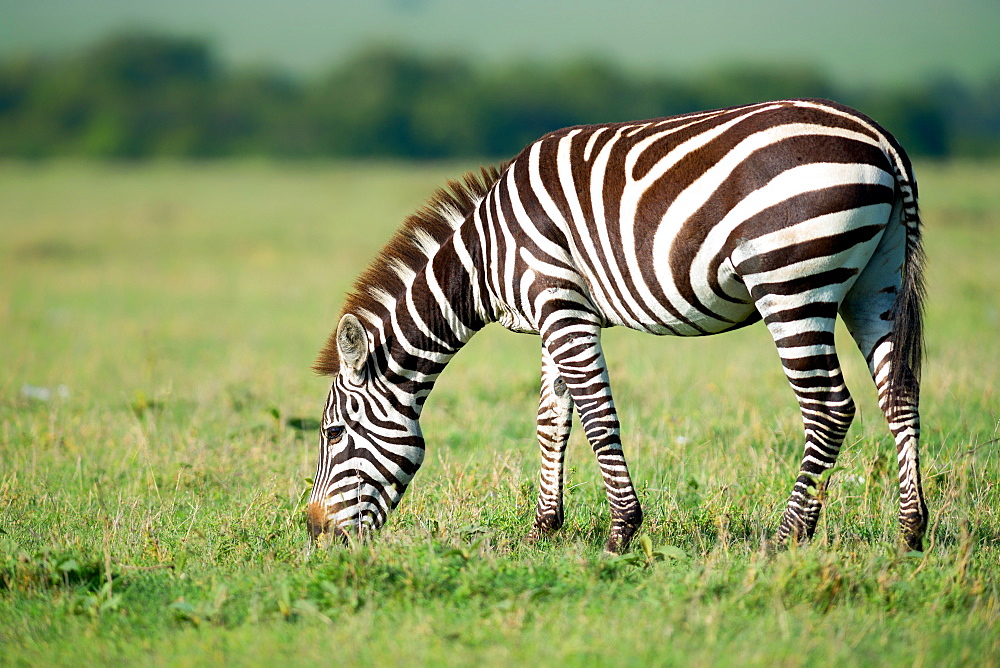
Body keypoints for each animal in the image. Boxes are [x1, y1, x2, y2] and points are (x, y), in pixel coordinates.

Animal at [306, 98, 928, 552]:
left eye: (333, 435)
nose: (314, 532)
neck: (485, 255)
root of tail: (879, 138)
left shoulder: (560, 304)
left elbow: (598, 418)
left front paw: (621, 533)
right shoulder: (555, 312)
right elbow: (551, 420)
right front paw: (543, 529)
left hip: (793, 282)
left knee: (829, 408)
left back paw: (787, 537)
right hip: (876, 283)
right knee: (899, 396)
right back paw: (909, 533)